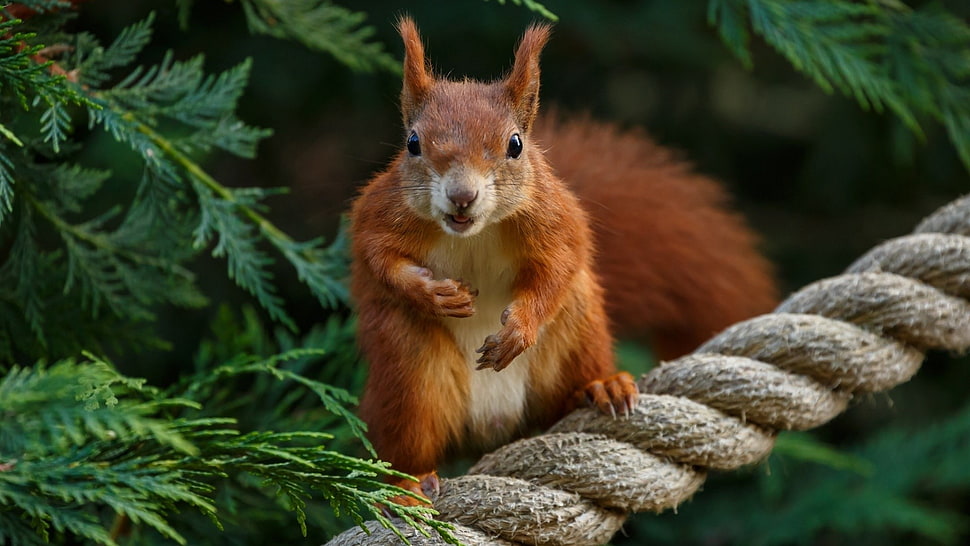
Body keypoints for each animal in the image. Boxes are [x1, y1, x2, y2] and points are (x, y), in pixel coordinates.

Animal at [349, 18, 777, 505]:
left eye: (516, 144)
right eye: (413, 143)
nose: (462, 196)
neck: (474, 234)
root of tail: (494, 425)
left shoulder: (555, 216)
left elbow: (561, 263)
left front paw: (520, 328)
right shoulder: (380, 212)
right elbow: (375, 257)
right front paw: (432, 293)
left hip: (576, 332)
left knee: (567, 376)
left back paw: (599, 387)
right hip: (409, 374)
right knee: (410, 434)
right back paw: (406, 484)